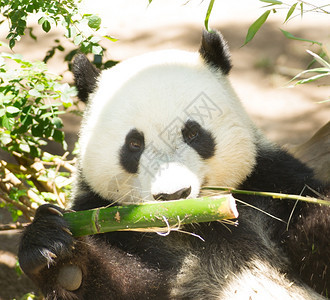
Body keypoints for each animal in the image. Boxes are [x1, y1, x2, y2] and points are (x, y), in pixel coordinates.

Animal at [18, 30, 330, 300]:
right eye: (134, 144)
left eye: (192, 133)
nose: (174, 195)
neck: (197, 226)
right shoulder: (105, 217)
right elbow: (129, 286)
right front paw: (57, 255)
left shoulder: (270, 184)